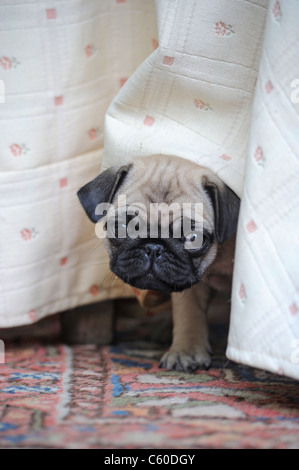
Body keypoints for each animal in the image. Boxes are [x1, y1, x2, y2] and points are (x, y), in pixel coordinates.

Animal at [78, 156, 241, 372]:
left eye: (193, 238)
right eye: (121, 227)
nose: (154, 247)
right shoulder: (191, 288)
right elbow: (189, 314)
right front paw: (186, 351)